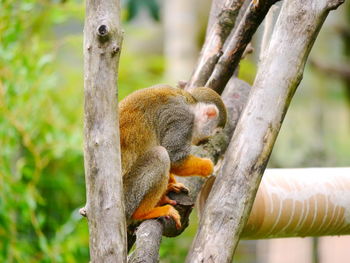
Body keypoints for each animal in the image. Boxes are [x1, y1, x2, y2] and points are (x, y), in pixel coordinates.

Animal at [121, 84, 227, 229]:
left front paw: (171, 184)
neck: (191, 103)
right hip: (128, 198)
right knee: (160, 155)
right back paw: (143, 213)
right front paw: (208, 166)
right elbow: (174, 159)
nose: (205, 141)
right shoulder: (182, 120)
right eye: (215, 132)